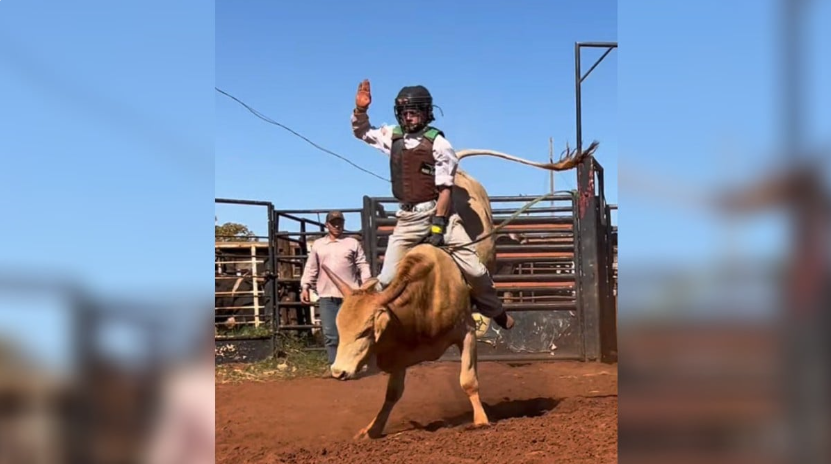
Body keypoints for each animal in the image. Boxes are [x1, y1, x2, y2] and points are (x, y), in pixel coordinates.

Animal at [320, 142, 597, 440]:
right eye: (341, 329)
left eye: (365, 331)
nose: (338, 371)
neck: (424, 300)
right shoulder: (401, 352)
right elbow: (392, 394)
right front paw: (372, 428)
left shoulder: (467, 332)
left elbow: (468, 380)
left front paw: (480, 420)